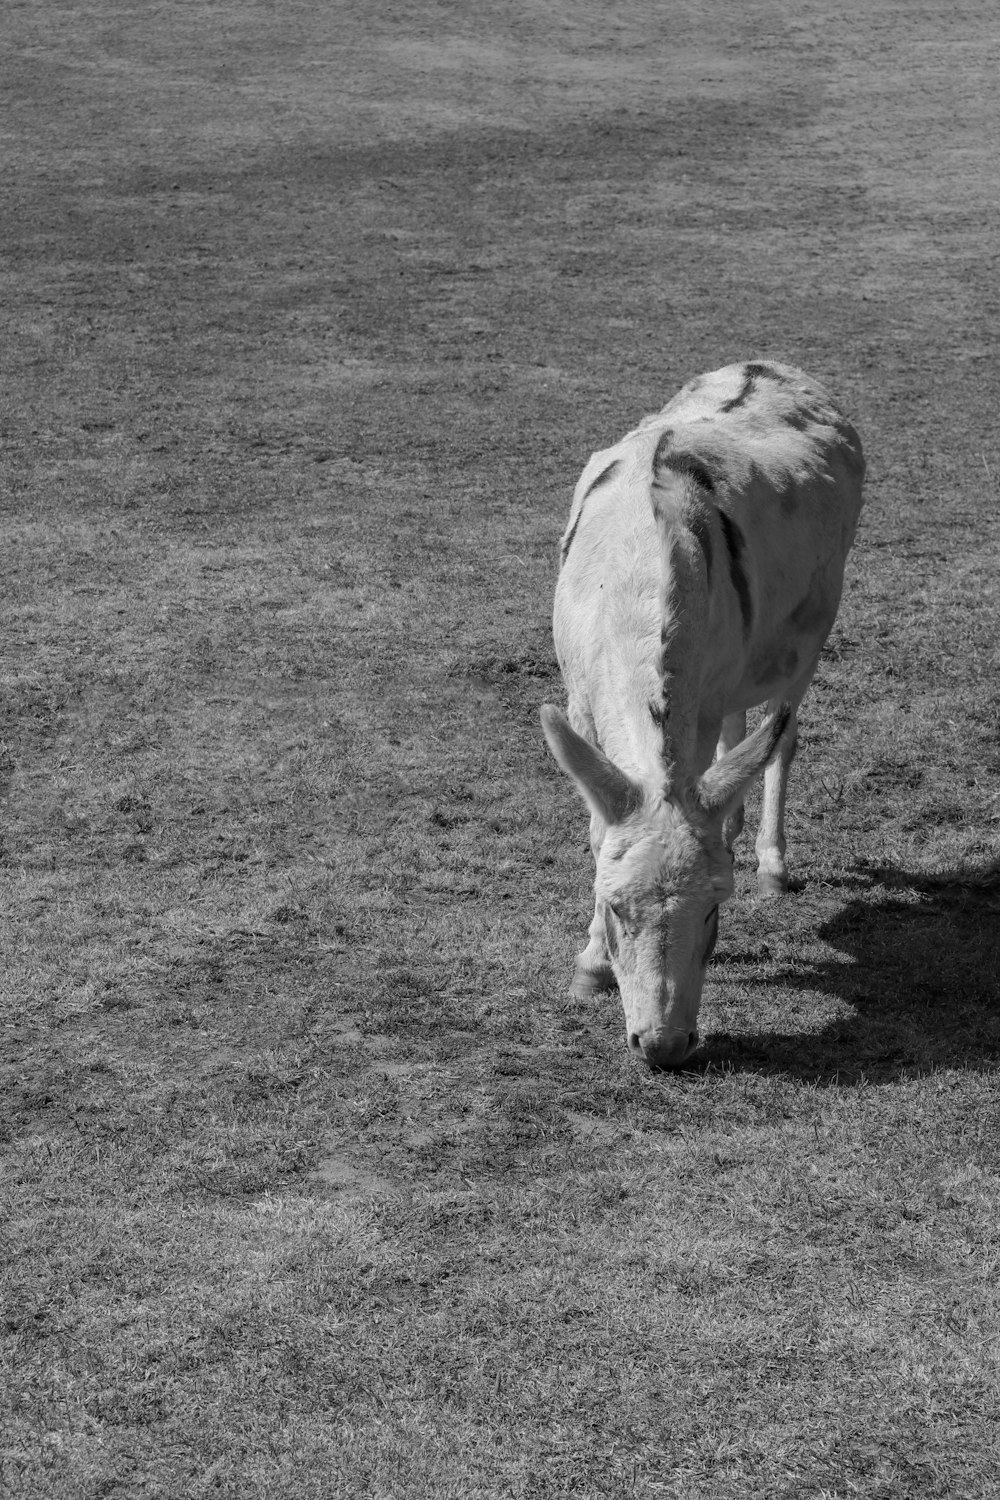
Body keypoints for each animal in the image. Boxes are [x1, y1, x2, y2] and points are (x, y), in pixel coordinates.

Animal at [542, 360, 863, 1068]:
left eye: (715, 909)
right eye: (615, 908)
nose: (664, 1046)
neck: (631, 584)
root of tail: (767, 365)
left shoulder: (704, 700)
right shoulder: (579, 706)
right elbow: (601, 832)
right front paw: (589, 968)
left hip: (811, 633)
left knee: (781, 735)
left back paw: (769, 860)